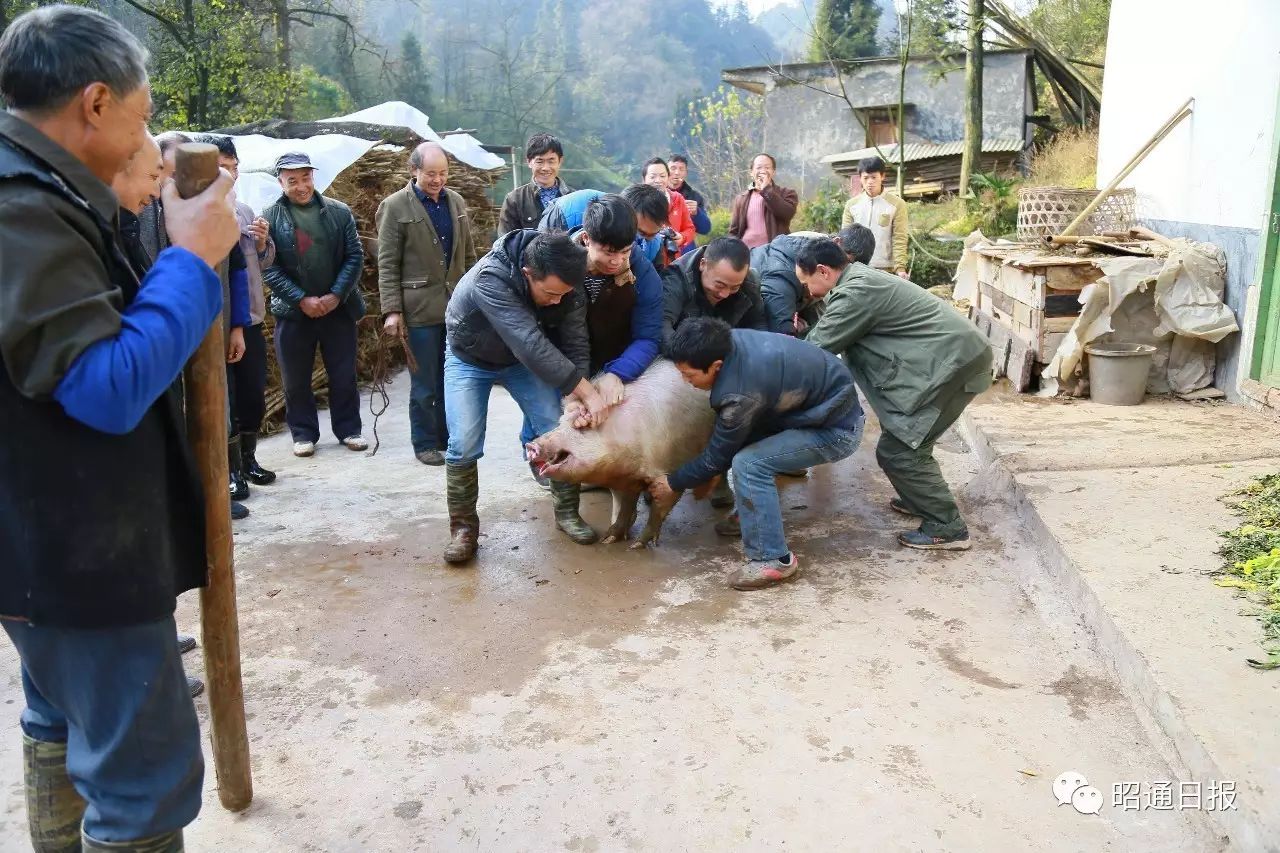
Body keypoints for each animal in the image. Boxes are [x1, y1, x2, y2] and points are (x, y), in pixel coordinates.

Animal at [522, 356, 721, 545]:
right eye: (561, 422)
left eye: (581, 428)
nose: (531, 445)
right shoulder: (626, 480)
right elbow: (624, 508)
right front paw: (607, 539)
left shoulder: (669, 469)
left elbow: (659, 509)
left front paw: (638, 544)